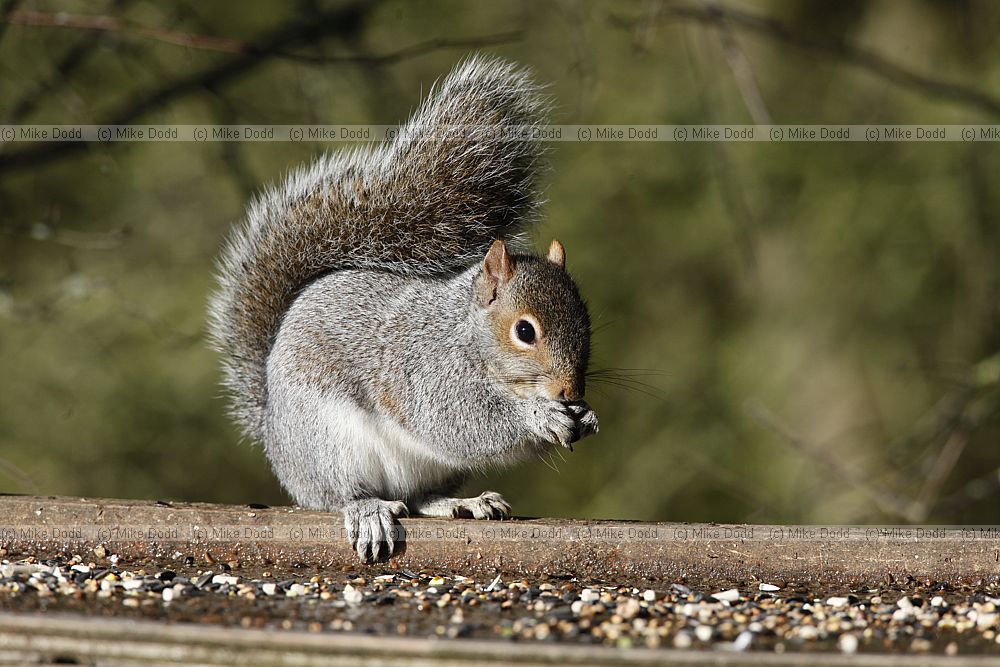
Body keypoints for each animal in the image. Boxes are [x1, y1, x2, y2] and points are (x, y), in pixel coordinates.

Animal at [208, 56, 598, 563]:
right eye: (525, 332)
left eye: (588, 324)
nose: (570, 391)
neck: (464, 332)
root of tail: (274, 432)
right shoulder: (425, 370)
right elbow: (461, 421)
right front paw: (542, 417)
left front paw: (586, 416)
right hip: (328, 441)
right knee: (340, 494)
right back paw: (368, 510)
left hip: (432, 469)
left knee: (418, 498)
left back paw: (462, 502)